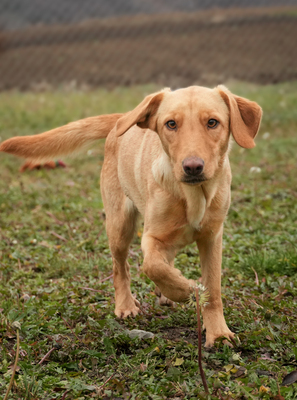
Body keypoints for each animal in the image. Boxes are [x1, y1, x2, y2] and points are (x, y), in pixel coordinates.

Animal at [0, 85, 260, 346]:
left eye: (212, 122)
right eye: (171, 124)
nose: (193, 167)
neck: (194, 195)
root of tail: (123, 118)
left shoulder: (212, 237)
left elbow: (213, 288)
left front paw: (218, 332)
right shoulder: (151, 236)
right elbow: (152, 267)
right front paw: (187, 289)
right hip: (119, 226)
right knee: (120, 268)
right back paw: (126, 304)